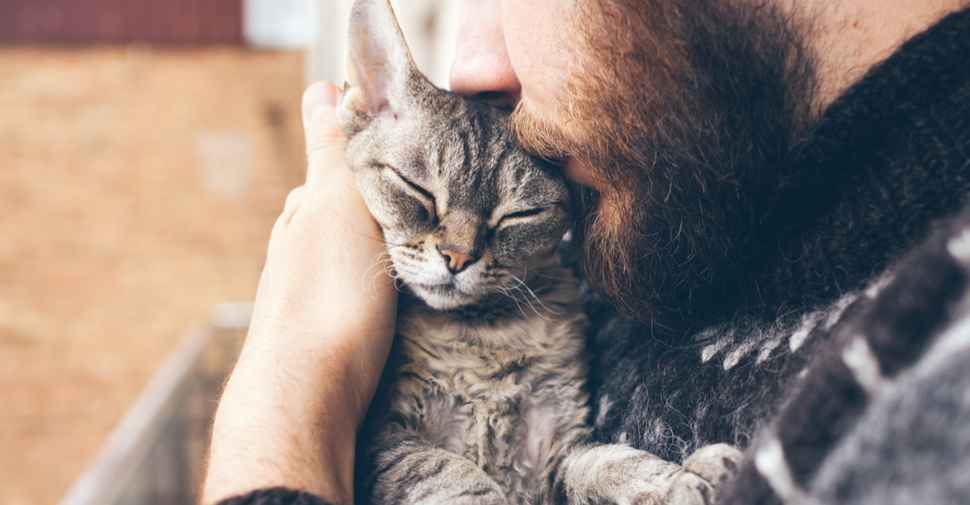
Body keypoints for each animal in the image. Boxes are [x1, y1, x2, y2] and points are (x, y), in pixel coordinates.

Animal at [334, 0, 740, 504]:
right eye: (418, 189)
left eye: (518, 215)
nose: (457, 257)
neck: (485, 335)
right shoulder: (381, 438)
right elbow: (451, 471)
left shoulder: (558, 447)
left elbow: (608, 463)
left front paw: (678, 481)